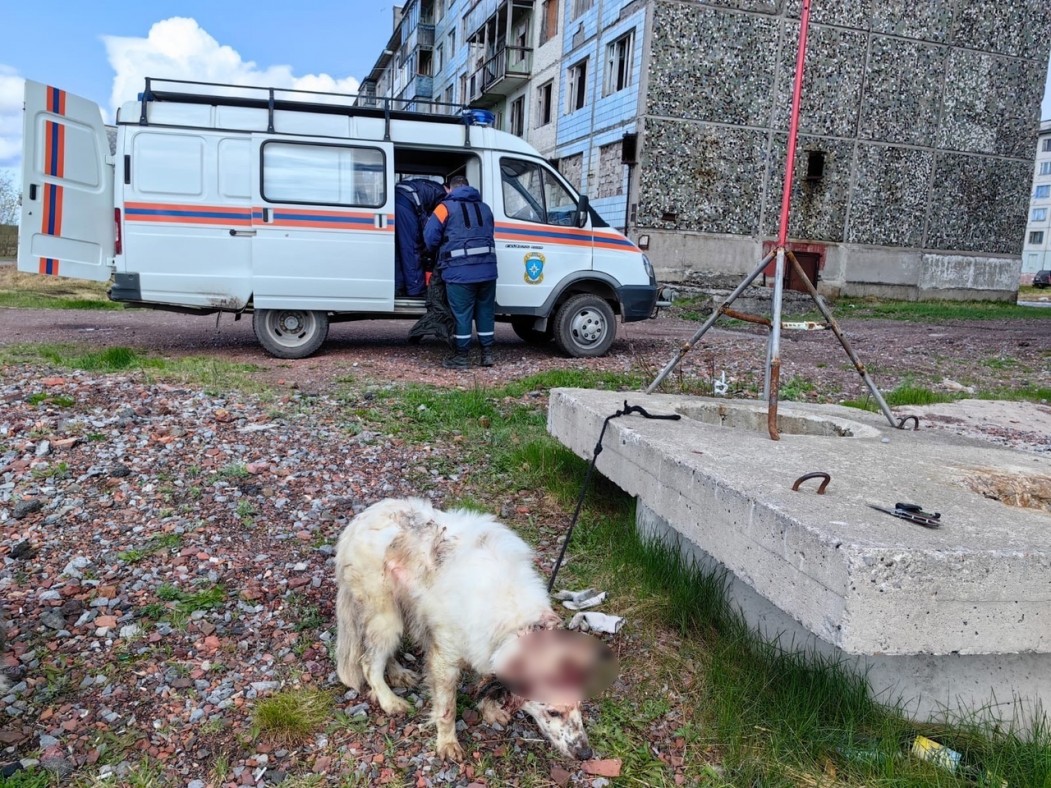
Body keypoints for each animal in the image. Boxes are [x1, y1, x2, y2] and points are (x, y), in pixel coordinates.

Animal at [334, 495, 613, 760]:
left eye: (580, 704)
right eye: (553, 712)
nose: (585, 754)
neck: (516, 618)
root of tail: (357, 522)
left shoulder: (485, 644)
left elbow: (487, 678)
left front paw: (490, 709)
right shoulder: (444, 660)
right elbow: (447, 708)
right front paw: (447, 743)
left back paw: (398, 673)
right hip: (385, 616)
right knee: (369, 662)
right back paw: (390, 700)